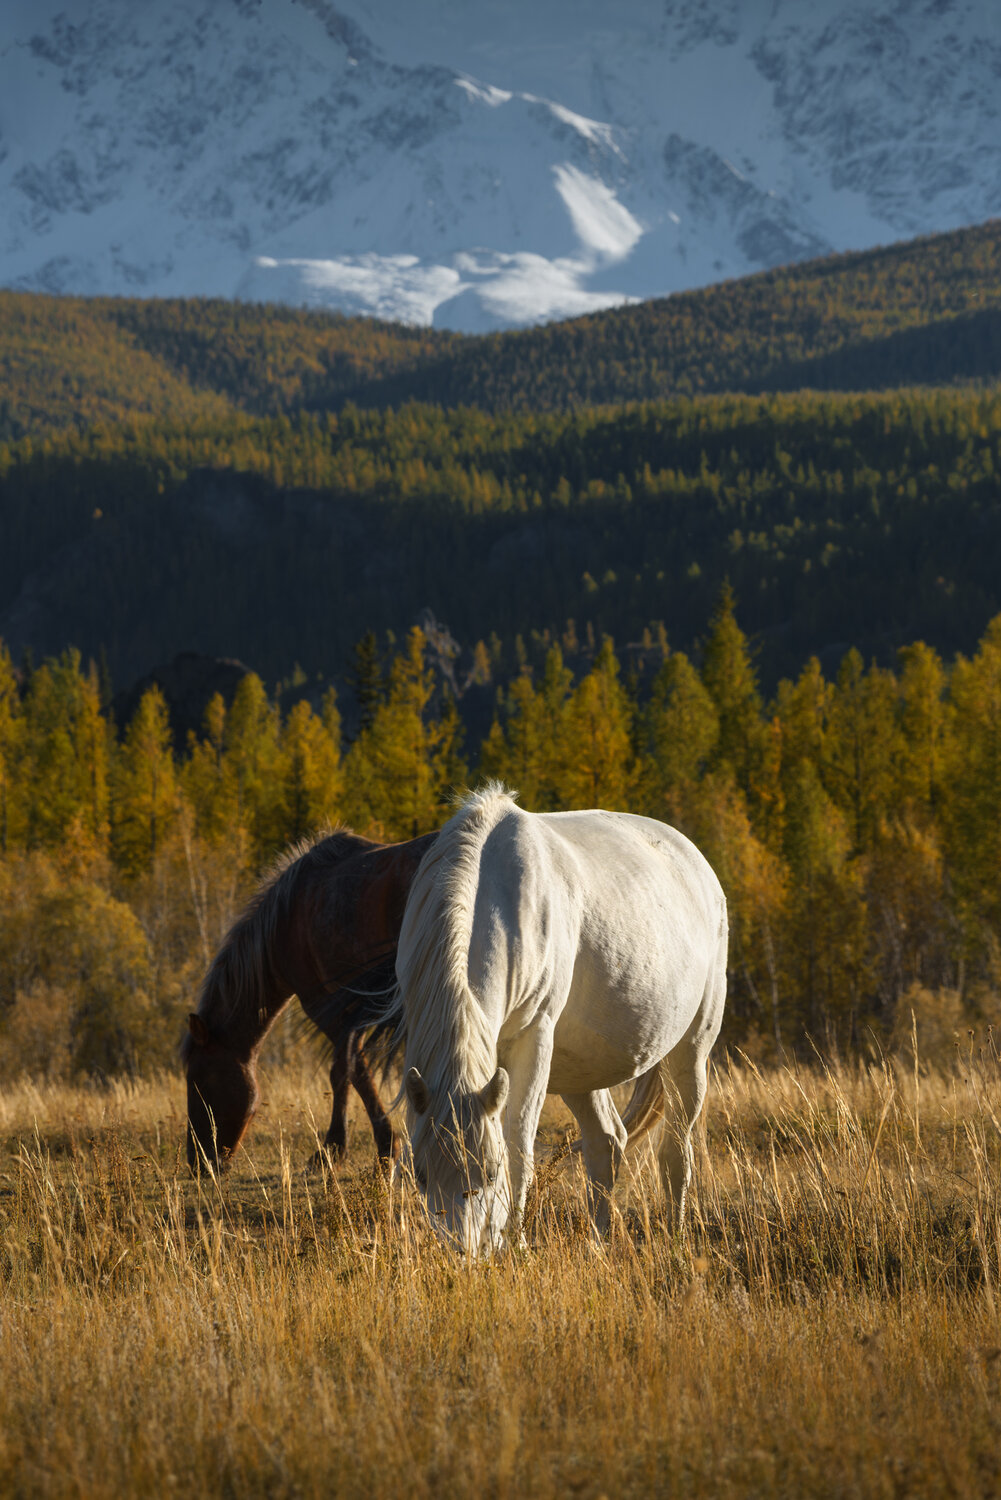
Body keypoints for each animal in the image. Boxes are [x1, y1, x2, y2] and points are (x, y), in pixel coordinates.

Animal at [182, 827, 437, 1173]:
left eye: (199, 1080)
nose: (198, 1161)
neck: (286, 921)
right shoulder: (356, 1012)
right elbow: (352, 1069)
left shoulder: (330, 1011)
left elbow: (346, 1070)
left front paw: (344, 1149)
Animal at [384, 785, 727, 1255]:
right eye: (420, 1175)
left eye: (490, 1172)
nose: (468, 1255)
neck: (492, 895)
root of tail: (696, 863)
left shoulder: (534, 1039)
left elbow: (519, 1143)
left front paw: (518, 1245)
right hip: (580, 1071)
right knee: (607, 1142)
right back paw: (599, 1244)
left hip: (691, 1050)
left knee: (675, 1150)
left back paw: (674, 1236)